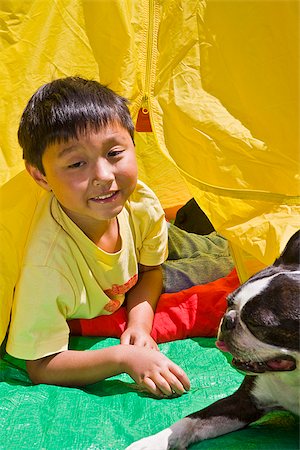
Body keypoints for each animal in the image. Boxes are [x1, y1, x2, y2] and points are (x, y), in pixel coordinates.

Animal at [127, 232, 300, 450]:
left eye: (257, 323)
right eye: (229, 302)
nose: (227, 320)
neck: (296, 377)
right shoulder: (244, 401)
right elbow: (190, 420)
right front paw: (153, 442)